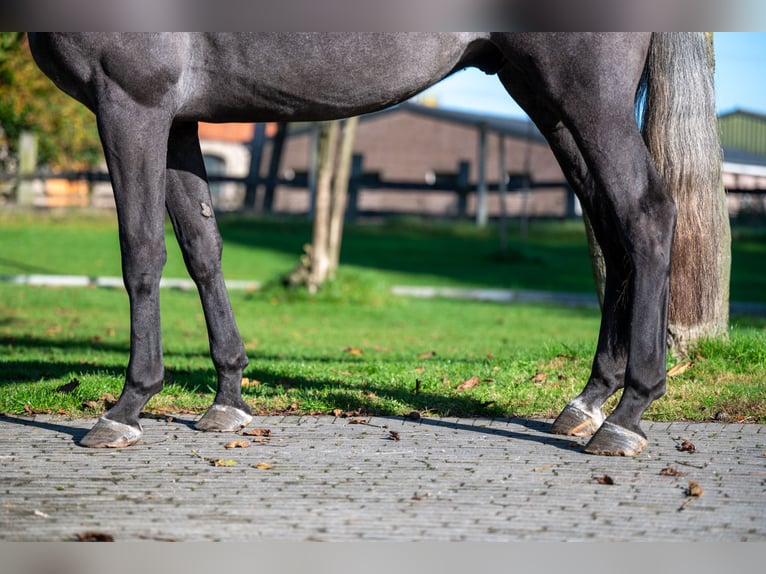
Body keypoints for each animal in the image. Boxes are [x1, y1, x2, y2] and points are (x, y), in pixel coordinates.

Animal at [27, 32, 724, 454]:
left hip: (588, 97)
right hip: (546, 98)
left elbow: (142, 250)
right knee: (610, 229)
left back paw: (628, 417)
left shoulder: (131, 103)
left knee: (647, 215)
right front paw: (228, 398)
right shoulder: (178, 118)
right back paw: (589, 401)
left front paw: (126, 407)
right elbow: (203, 248)